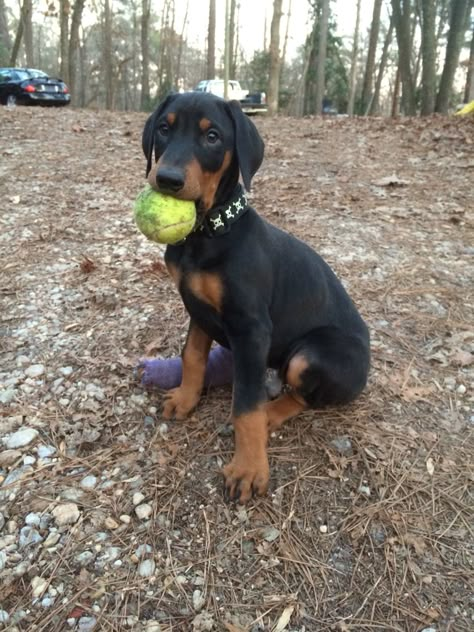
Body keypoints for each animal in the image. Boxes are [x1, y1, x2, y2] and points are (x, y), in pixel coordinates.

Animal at [141, 92, 370, 504]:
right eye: (164, 128)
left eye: (212, 136)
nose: (167, 179)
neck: (209, 234)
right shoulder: (197, 308)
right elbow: (193, 357)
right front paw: (185, 399)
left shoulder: (251, 329)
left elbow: (246, 404)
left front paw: (248, 469)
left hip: (310, 355)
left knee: (302, 397)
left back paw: (270, 415)